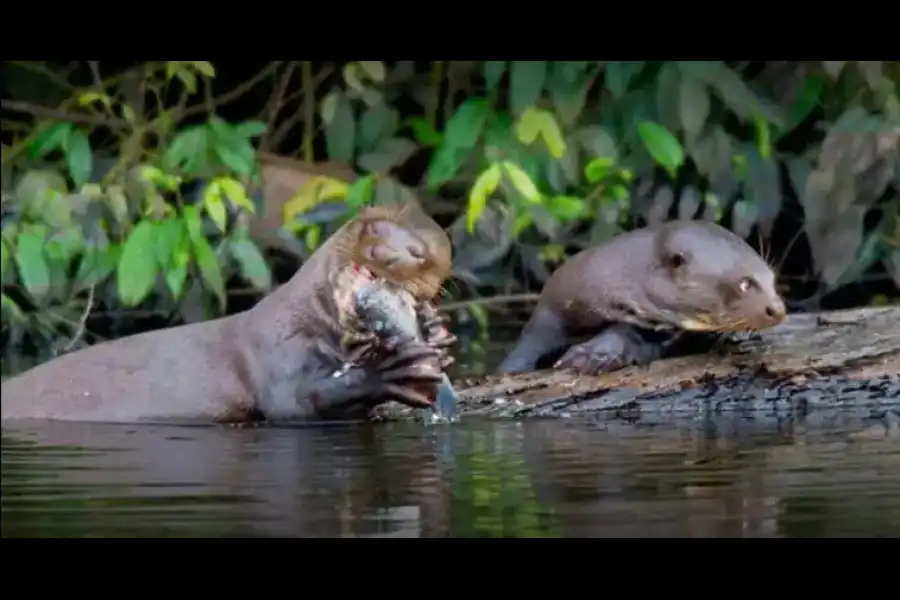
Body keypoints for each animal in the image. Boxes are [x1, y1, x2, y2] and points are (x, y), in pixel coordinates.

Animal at [0, 202, 458, 422]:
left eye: (420, 252)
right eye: (374, 230)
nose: (383, 254)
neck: (304, 315)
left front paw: (438, 335)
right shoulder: (277, 349)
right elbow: (292, 402)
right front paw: (391, 370)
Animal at [500, 220, 788, 378]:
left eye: (772, 280)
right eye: (745, 283)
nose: (777, 309)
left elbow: (631, 334)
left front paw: (593, 355)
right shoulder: (558, 298)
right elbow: (534, 336)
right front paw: (513, 365)